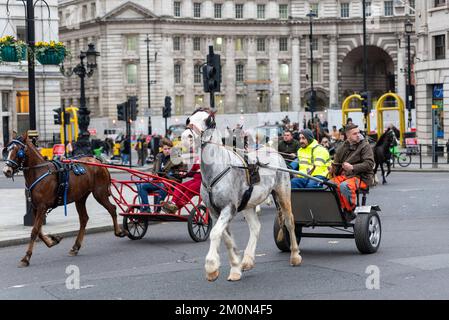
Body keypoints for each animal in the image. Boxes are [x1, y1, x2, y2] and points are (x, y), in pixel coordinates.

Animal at [2, 133, 127, 268]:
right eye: (8, 149)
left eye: (18, 151)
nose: (6, 171)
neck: (39, 171)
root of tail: (98, 162)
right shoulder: (36, 207)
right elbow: (38, 230)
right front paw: (52, 241)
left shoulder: (42, 207)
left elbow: (34, 231)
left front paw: (26, 257)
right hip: (80, 197)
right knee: (84, 218)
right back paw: (76, 246)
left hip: (100, 193)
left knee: (112, 209)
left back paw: (118, 231)